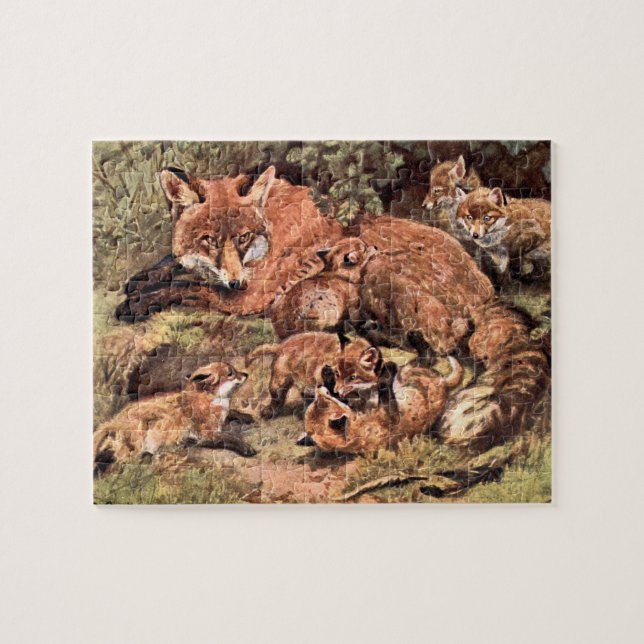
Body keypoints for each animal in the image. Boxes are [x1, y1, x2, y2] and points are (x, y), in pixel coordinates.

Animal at [94, 361, 254, 476]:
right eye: (230, 373)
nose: (246, 374)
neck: (211, 400)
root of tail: (112, 422)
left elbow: (233, 412)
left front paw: (246, 417)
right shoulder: (207, 433)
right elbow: (231, 437)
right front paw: (246, 448)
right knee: (119, 466)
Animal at [246, 332, 381, 419]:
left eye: (352, 377)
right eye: (336, 373)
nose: (337, 391)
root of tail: (281, 345)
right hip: (279, 382)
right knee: (277, 398)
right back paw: (269, 412)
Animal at [303, 357, 463, 456]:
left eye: (323, 397)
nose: (318, 388)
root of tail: (443, 383)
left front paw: (327, 375)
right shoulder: (393, 417)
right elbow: (385, 389)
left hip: (411, 370)